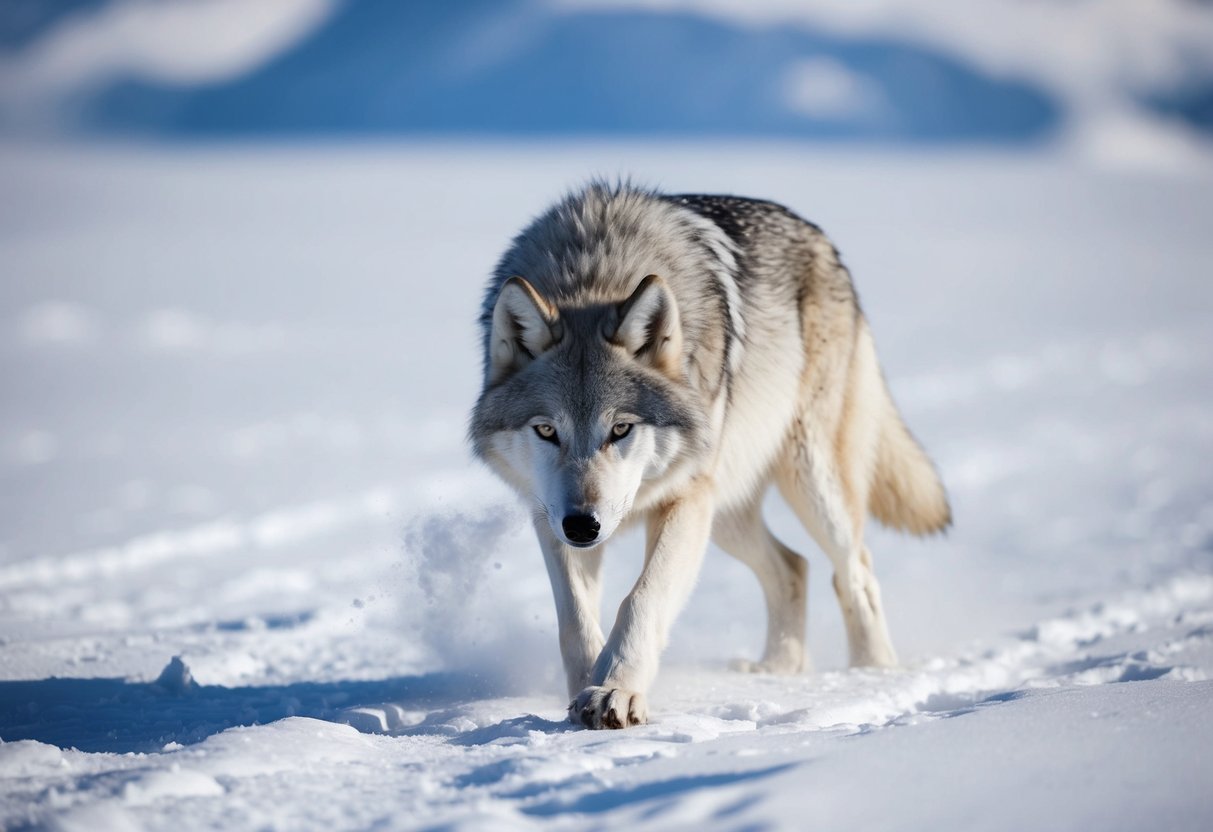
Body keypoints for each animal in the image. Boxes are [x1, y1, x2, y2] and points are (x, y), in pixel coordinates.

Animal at [470, 183, 950, 730]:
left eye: (620, 429)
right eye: (547, 430)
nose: (583, 526)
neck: (597, 270)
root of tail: (824, 243)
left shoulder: (681, 500)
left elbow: (641, 598)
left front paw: (617, 691)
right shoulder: (549, 515)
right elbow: (575, 621)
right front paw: (584, 694)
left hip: (806, 484)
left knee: (855, 572)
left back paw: (870, 677)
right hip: (726, 512)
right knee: (793, 566)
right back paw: (778, 672)